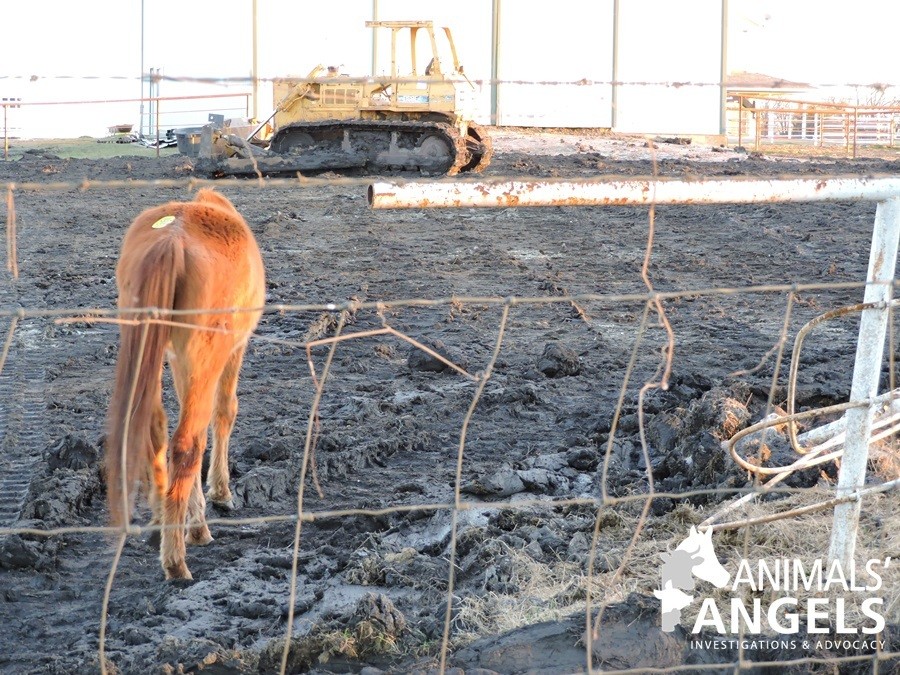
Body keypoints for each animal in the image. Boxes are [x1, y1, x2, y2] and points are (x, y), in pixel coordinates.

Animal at [105, 188, 265, 580]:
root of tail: (171, 239)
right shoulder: (231, 351)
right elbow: (224, 413)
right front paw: (219, 494)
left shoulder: (179, 361)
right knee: (187, 443)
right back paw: (176, 560)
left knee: (155, 430)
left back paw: (163, 521)